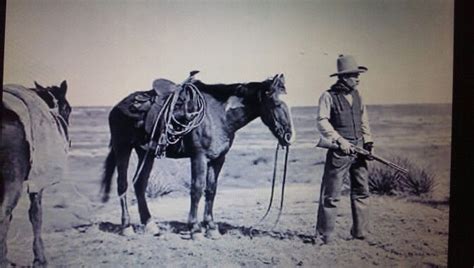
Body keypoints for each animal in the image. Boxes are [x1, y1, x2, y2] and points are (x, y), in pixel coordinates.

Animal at [0, 81, 71, 266]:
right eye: (68, 109)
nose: (68, 140)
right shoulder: (38, 181)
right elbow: (36, 215)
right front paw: (40, 258)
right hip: (12, 182)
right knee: (4, 213)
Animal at [100, 74, 292, 238]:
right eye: (276, 103)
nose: (289, 136)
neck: (219, 115)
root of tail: (117, 107)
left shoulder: (218, 159)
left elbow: (211, 190)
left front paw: (211, 228)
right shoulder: (199, 157)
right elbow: (197, 189)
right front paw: (195, 229)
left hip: (145, 154)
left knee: (139, 184)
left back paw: (150, 225)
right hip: (122, 148)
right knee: (122, 184)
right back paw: (127, 227)